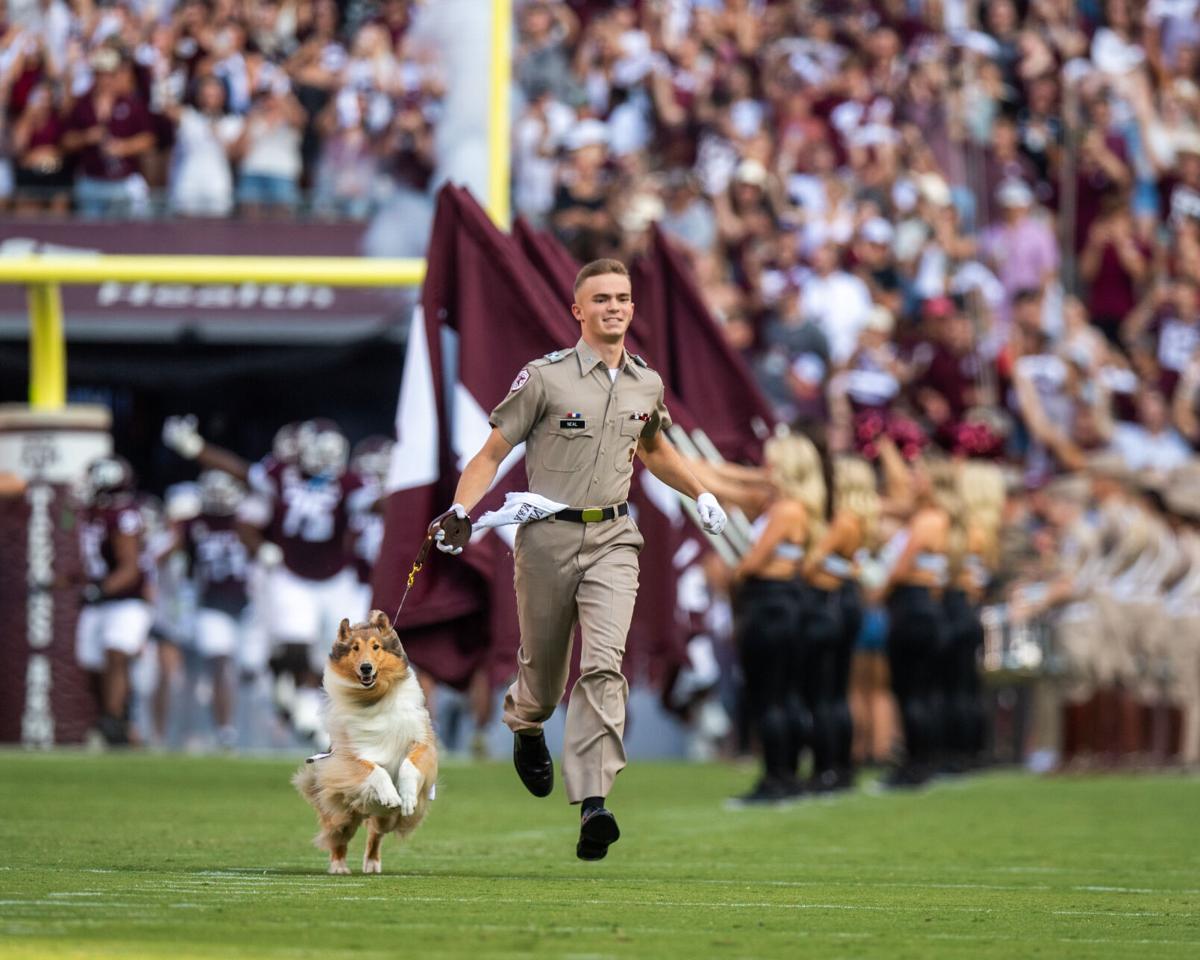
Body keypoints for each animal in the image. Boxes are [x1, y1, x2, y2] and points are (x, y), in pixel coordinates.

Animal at [292, 612, 439, 873]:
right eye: (355, 648)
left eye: (376, 646)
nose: (366, 667)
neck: (374, 697)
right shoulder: (347, 757)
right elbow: (374, 769)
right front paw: (390, 794)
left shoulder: (421, 741)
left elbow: (409, 765)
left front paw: (407, 797)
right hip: (340, 811)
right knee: (337, 837)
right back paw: (339, 866)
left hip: (385, 818)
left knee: (375, 833)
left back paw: (372, 862)